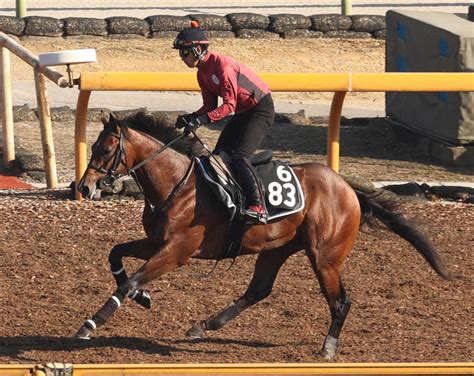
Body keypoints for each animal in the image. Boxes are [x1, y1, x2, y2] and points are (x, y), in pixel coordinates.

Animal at [75, 111, 452, 358]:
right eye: (92, 146)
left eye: (105, 150)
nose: (84, 186)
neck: (177, 184)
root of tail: (347, 187)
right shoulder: (156, 242)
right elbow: (115, 255)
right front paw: (143, 298)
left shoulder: (177, 250)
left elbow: (130, 280)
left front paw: (91, 325)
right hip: (277, 248)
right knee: (259, 289)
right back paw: (204, 326)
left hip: (325, 257)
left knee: (340, 301)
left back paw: (328, 349)